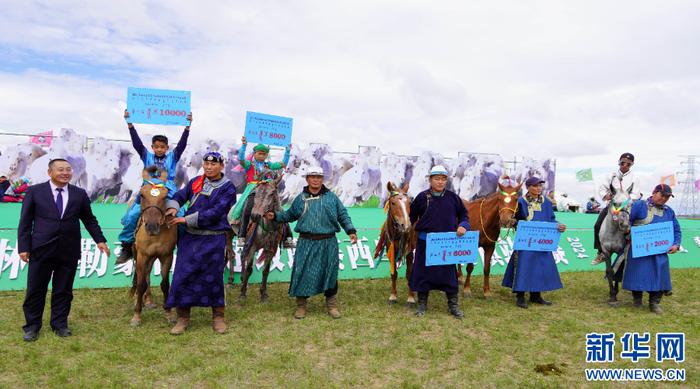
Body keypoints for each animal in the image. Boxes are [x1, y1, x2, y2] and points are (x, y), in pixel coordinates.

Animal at [129, 168, 178, 326]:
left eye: (165, 196)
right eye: (142, 195)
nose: (151, 226)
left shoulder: (166, 256)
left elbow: (165, 284)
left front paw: (168, 313)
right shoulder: (142, 255)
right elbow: (140, 284)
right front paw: (136, 315)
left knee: (148, 274)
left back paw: (148, 300)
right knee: (141, 277)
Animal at [239, 173, 286, 304]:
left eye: (271, 193)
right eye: (256, 192)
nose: (255, 215)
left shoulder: (271, 249)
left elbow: (266, 270)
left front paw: (264, 294)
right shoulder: (252, 246)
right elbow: (249, 268)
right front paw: (242, 294)